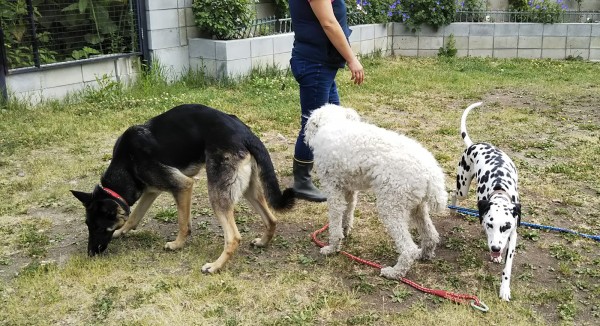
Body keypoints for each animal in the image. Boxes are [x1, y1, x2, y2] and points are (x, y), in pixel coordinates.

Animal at [308, 104, 448, 278]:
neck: (334, 123)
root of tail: (431, 172)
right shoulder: (349, 189)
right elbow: (348, 211)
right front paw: (345, 230)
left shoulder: (333, 190)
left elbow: (335, 224)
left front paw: (332, 248)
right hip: (417, 206)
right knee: (431, 236)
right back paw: (424, 254)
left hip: (391, 206)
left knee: (408, 249)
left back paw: (394, 272)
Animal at [450, 101, 520, 300]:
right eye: (490, 224)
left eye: (505, 226)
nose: (495, 249)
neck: (500, 188)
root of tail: (474, 145)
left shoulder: (513, 233)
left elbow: (507, 266)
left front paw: (504, 288)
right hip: (463, 186)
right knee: (453, 193)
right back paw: (453, 208)